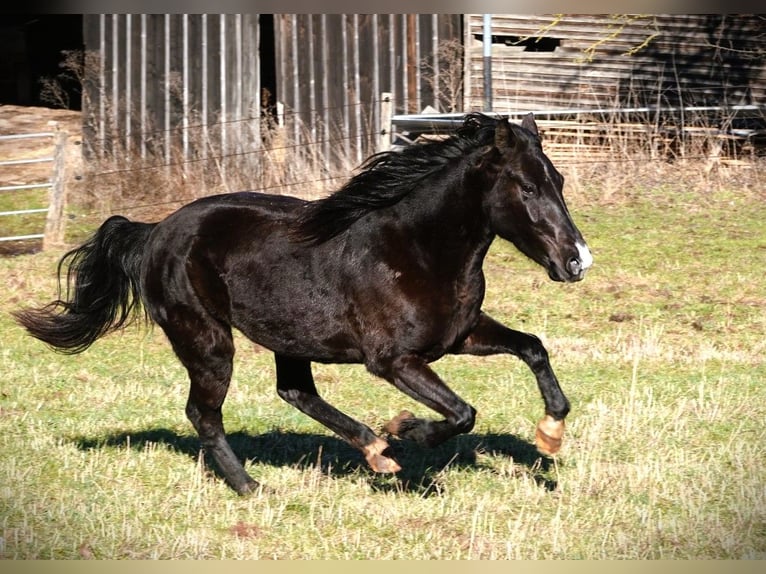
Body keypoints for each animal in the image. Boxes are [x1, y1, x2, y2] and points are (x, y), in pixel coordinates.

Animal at [14, 113, 593, 495]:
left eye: (559, 180)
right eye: (527, 188)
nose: (577, 261)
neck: (417, 248)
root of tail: (154, 232)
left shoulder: (458, 336)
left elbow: (533, 347)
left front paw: (550, 436)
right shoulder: (394, 361)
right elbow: (462, 412)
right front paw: (405, 429)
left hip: (287, 336)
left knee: (294, 391)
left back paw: (373, 453)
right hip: (207, 340)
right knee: (204, 412)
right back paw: (253, 487)